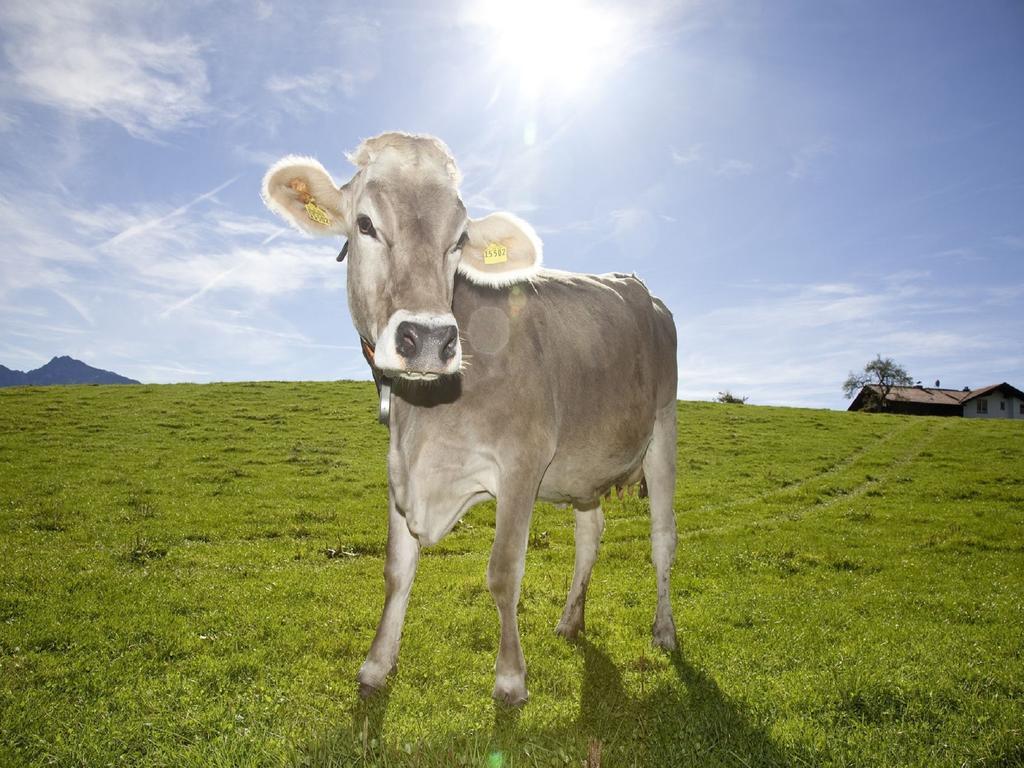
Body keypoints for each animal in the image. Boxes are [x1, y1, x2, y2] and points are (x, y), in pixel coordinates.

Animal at [262, 131, 679, 704]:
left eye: (459, 239)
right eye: (365, 224)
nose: (428, 339)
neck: (427, 419)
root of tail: (642, 288)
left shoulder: (523, 464)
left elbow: (503, 572)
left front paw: (510, 678)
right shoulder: (399, 471)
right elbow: (396, 570)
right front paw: (376, 664)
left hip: (662, 430)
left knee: (662, 539)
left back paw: (665, 631)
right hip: (583, 465)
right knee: (590, 532)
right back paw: (570, 620)